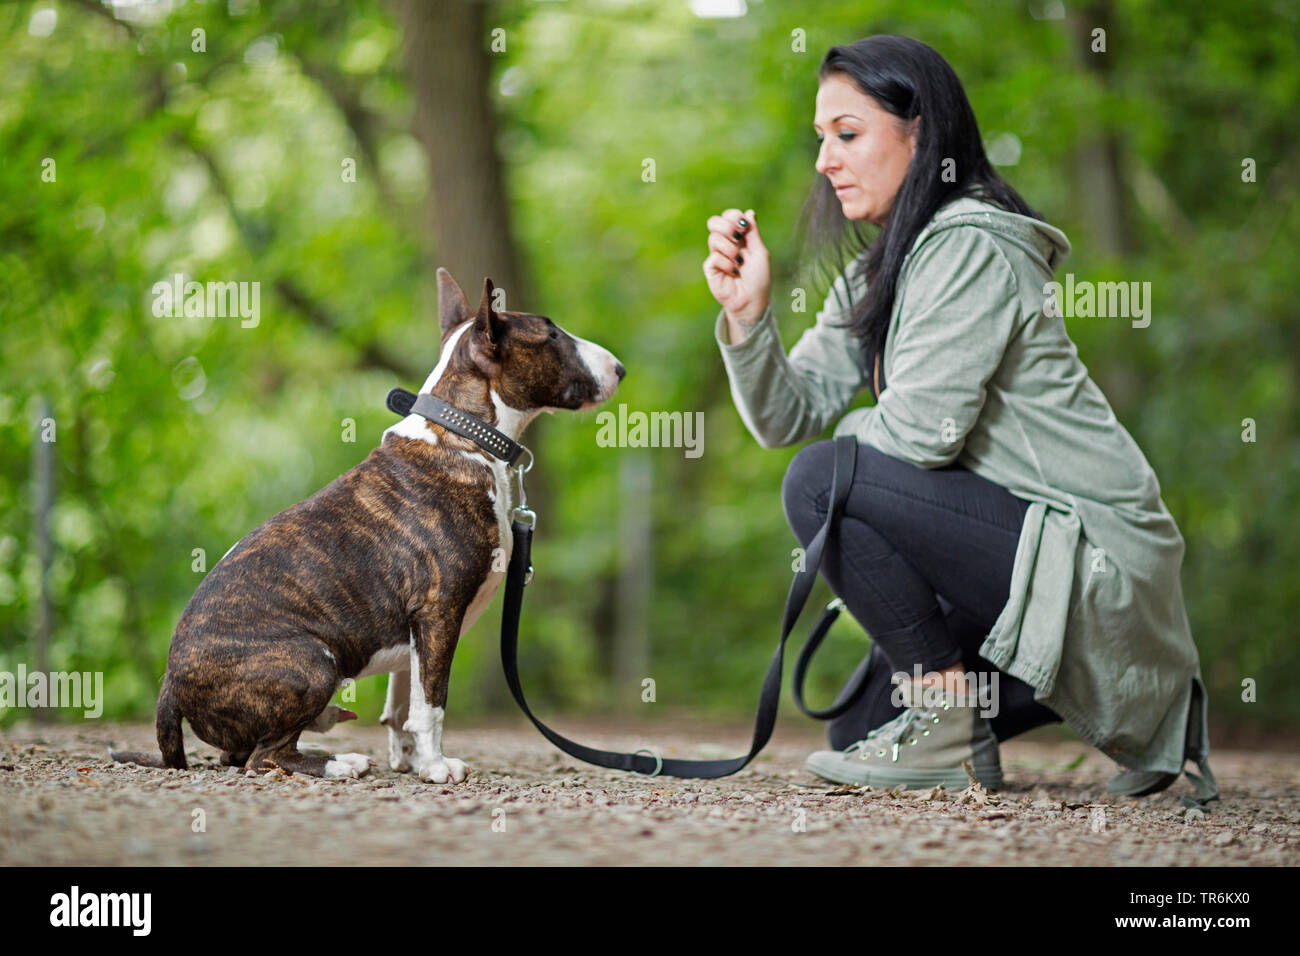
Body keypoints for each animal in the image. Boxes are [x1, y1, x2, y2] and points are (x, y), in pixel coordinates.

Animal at [111, 267, 624, 780]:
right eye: (551, 335)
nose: (619, 369)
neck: (464, 435)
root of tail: (169, 687)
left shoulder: (414, 632)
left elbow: (403, 704)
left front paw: (413, 762)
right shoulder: (436, 612)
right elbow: (432, 703)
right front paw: (436, 767)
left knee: (240, 755)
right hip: (313, 662)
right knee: (263, 758)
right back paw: (340, 763)